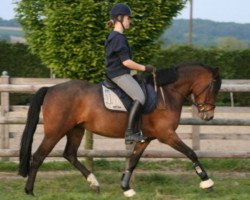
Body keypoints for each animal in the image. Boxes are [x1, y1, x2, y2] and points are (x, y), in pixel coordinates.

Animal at [19, 62, 221, 197]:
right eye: (213, 88)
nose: (208, 116)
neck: (167, 93)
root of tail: (51, 88)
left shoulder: (147, 138)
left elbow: (133, 161)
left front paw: (126, 188)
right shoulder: (167, 135)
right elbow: (191, 153)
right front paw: (207, 182)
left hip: (76, 130)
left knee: (69, 154)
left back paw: (94, 183)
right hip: (55, 131)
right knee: (38, 156)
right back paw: (29, 191)